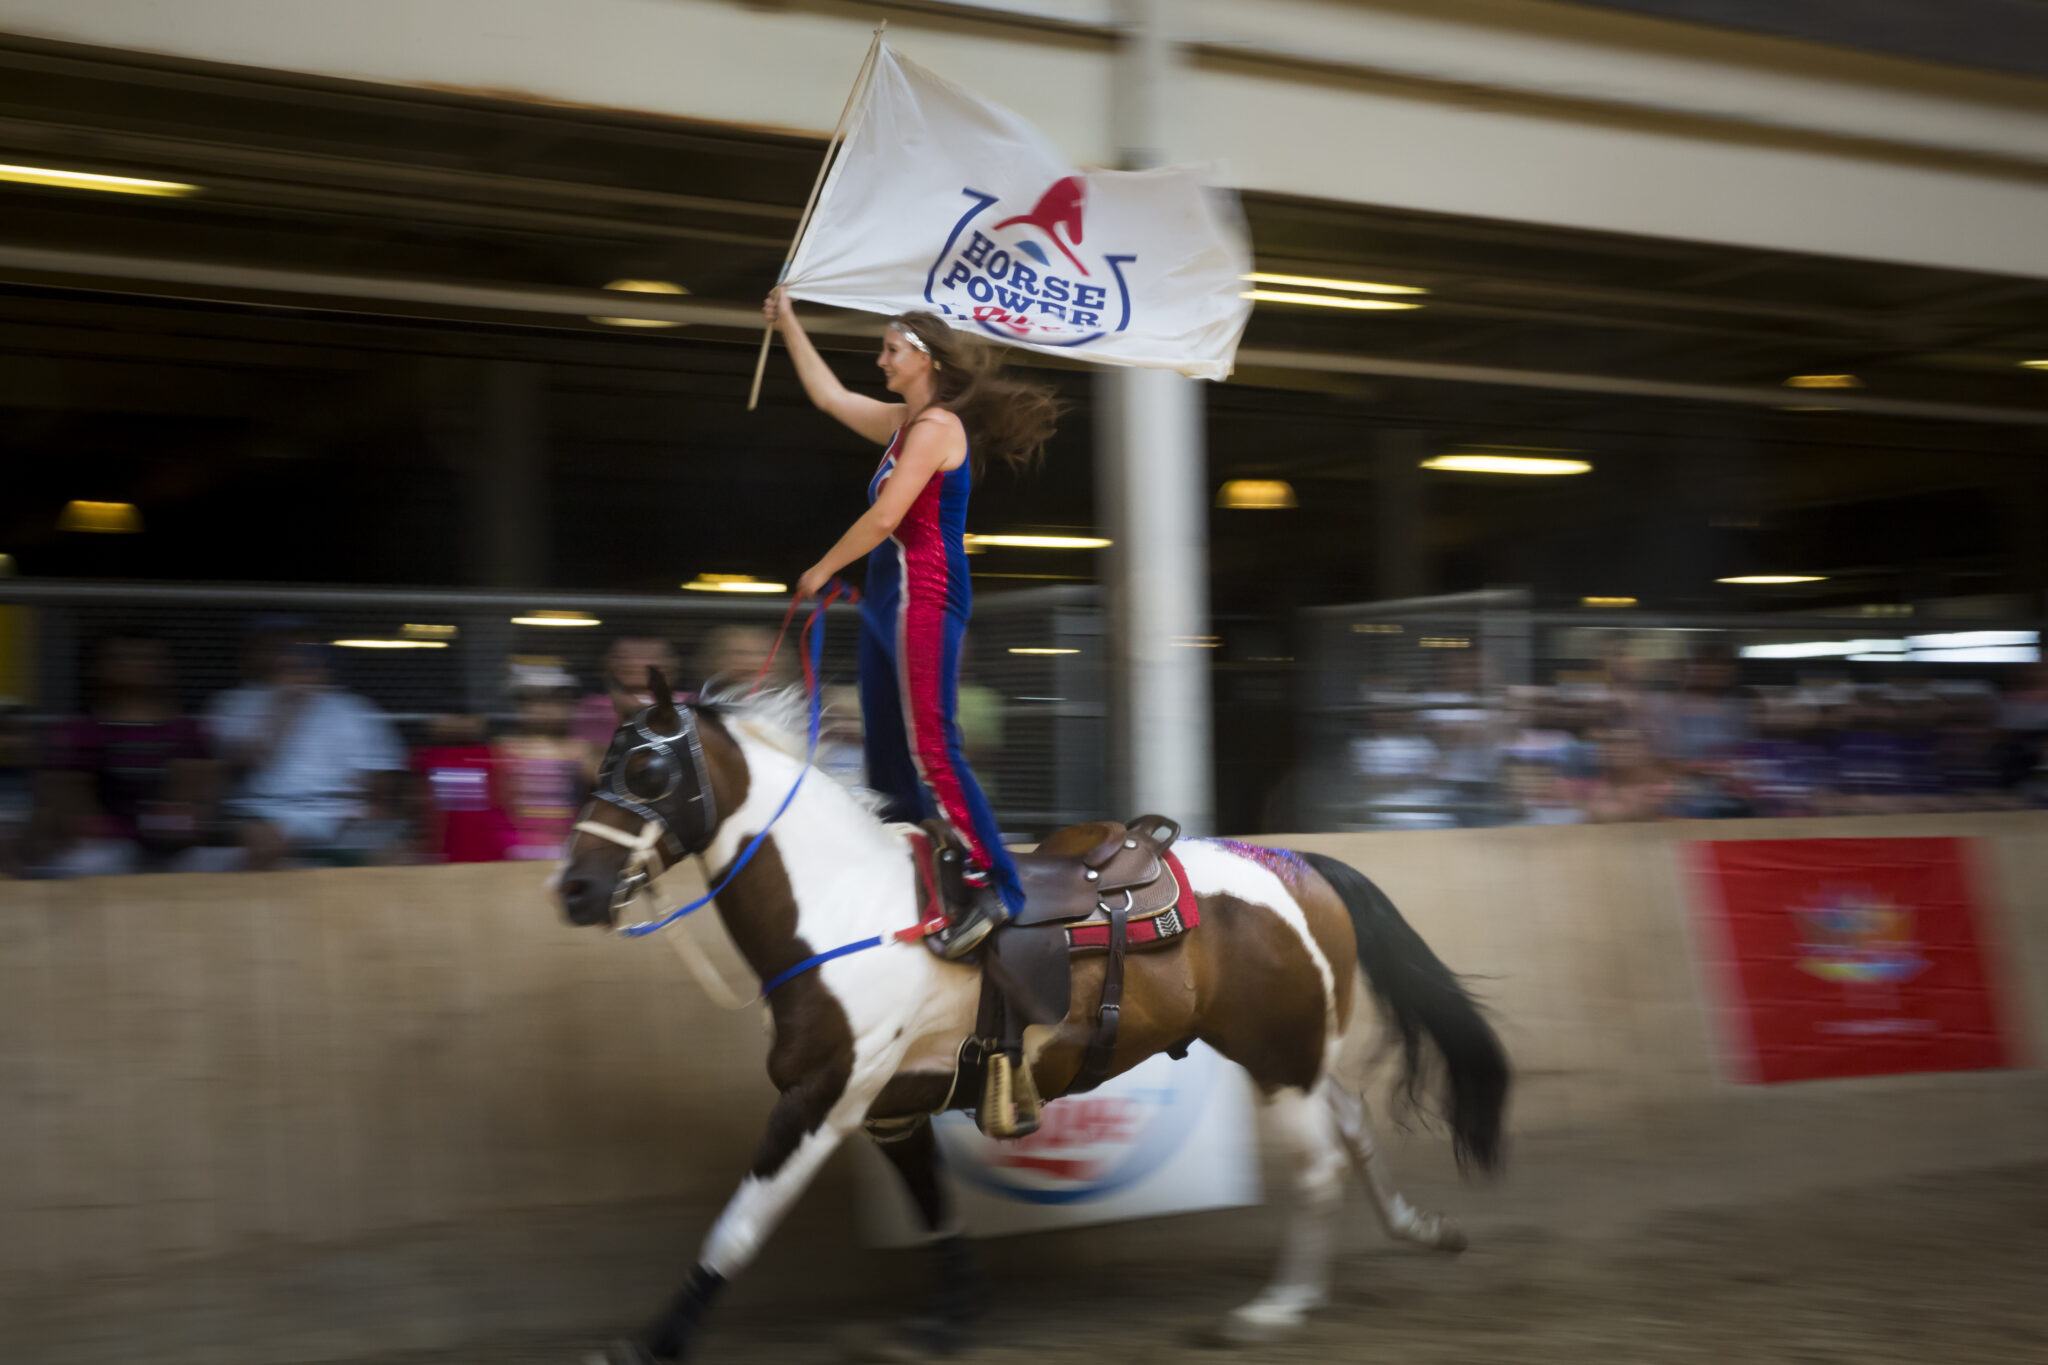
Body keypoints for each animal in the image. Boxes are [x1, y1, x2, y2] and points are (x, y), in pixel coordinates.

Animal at [557, 679, 1507, 1365]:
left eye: (648, 772)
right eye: (598, 763)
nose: (574, 889)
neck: (844, 911)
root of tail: (1295, 861)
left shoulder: (822, 1097)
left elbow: (740, 1224)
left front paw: (652, 1341)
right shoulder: (890, 1105)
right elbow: (934, 1206)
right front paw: (950, 1316)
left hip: (1278, 1054)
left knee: (1317, 1167)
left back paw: (1274, 1308)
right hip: (1291, 1051)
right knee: (1351, 1121)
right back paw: (1417, 1229)